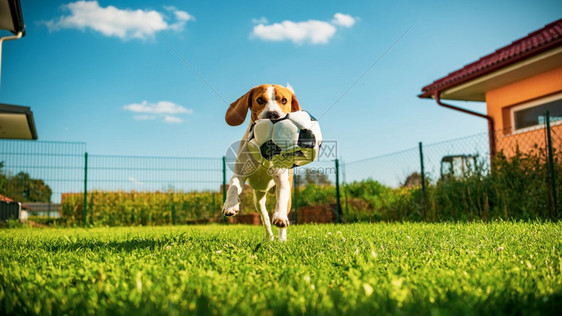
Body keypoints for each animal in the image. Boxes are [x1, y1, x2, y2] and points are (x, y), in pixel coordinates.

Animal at [223, 84, 302, 242]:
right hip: (258, 200)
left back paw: (281, 238)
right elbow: (233, 187)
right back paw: (269, 237)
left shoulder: (281, 178)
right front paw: (230, 205)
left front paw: (279, 217)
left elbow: (281, 200)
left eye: (284, 100)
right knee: (264, 217)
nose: (273, 114)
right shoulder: (239, 174)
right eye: (260, 100)